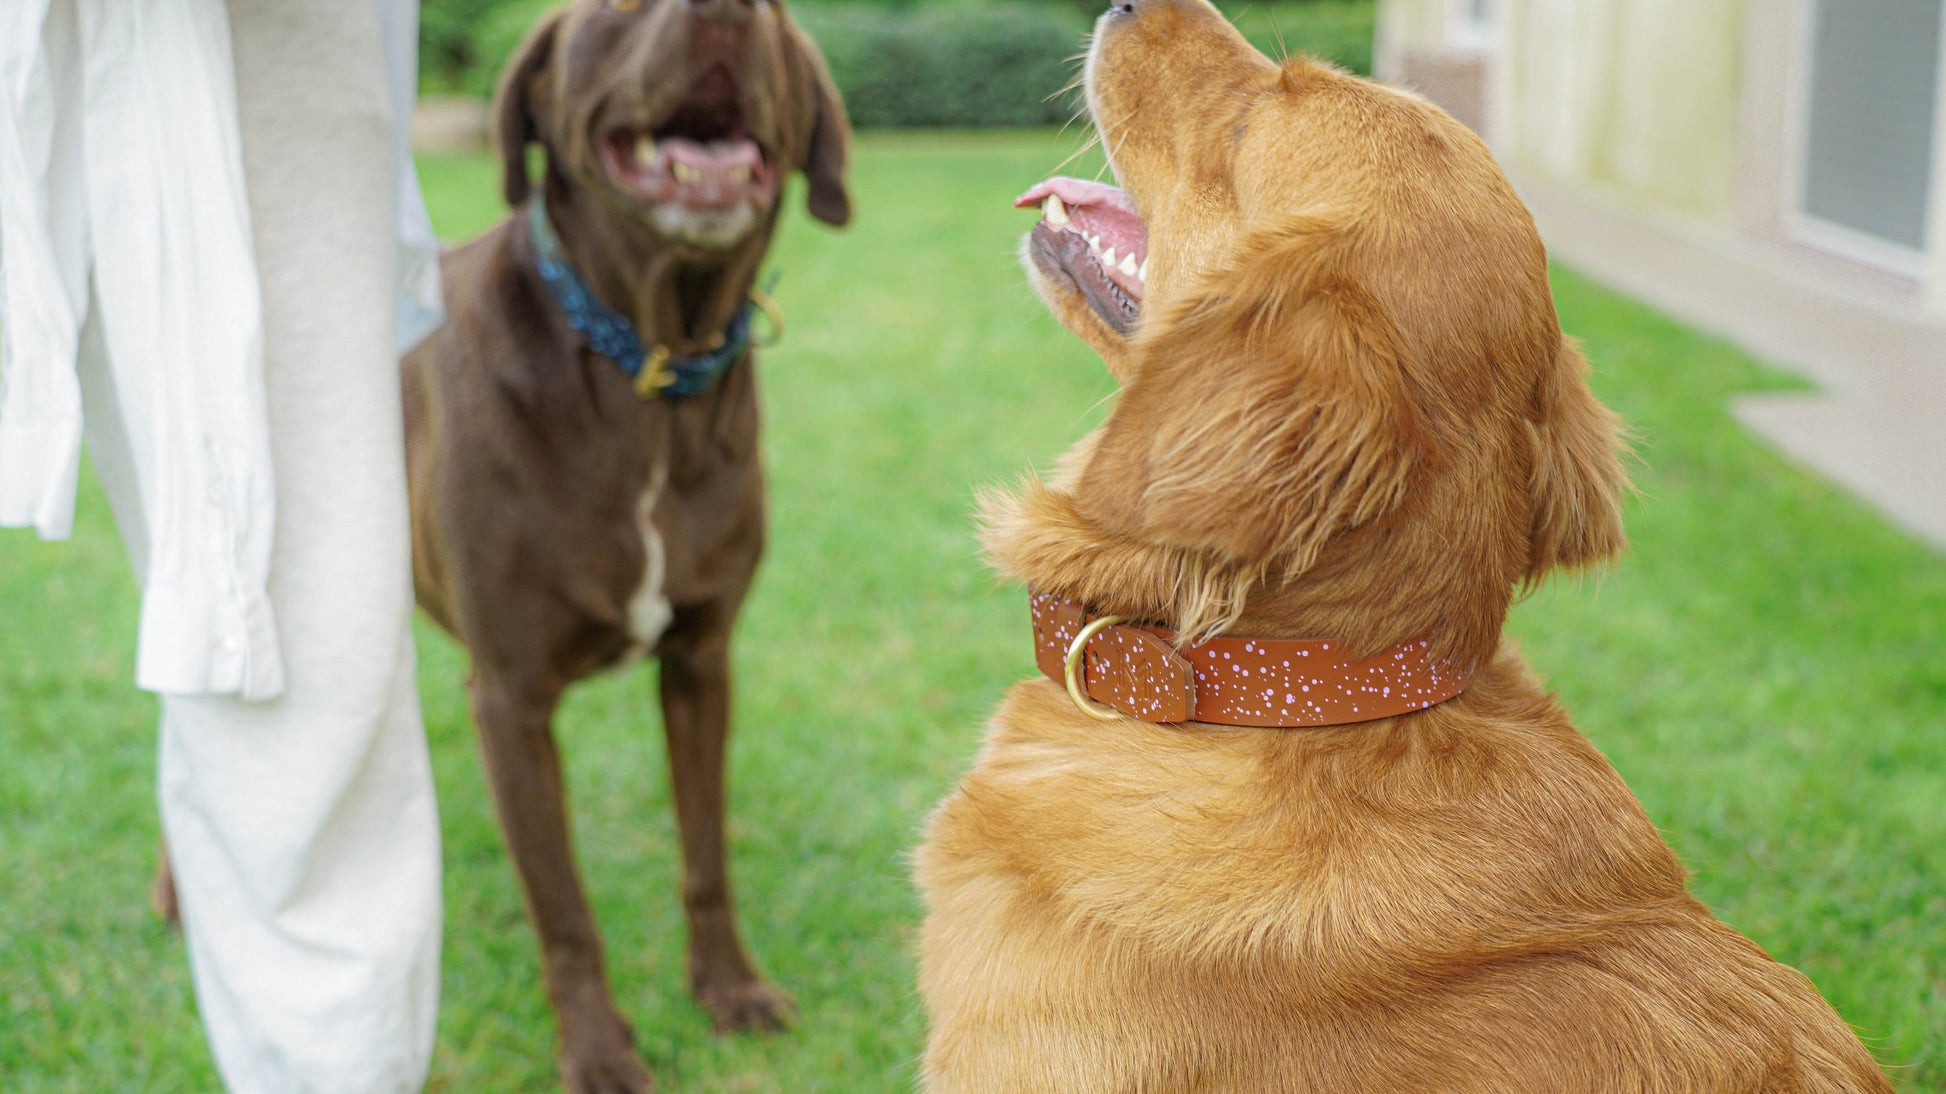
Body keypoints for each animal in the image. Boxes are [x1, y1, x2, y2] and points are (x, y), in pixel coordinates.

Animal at [402, 4, 844, 1082]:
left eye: (774, 16)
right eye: (611, 12)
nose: (722, 10)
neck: (646, 366)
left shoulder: (701, 662)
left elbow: (705, 853)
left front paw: (727, 988)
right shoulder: (509, 699)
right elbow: (563, 911)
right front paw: (598, 1050)